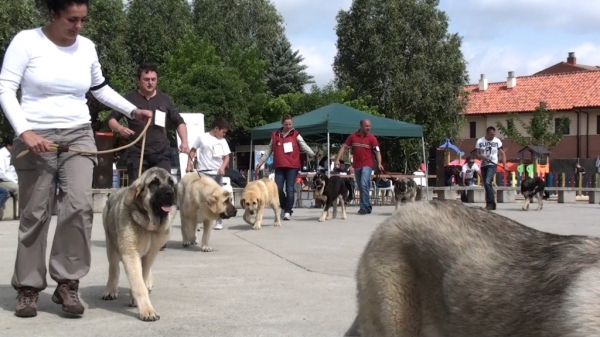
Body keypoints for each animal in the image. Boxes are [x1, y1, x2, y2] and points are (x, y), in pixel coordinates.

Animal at [99, 167, 176, 322]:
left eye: (171, 182)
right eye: (154, 183)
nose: (171, 193)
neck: (148, 226)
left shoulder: (150, 253)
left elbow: (143, 275)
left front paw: (137, 297)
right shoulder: (130, 254)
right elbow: (138, 283)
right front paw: (147, 310)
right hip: (111, 245)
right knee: (114, 269)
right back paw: (110, 290)